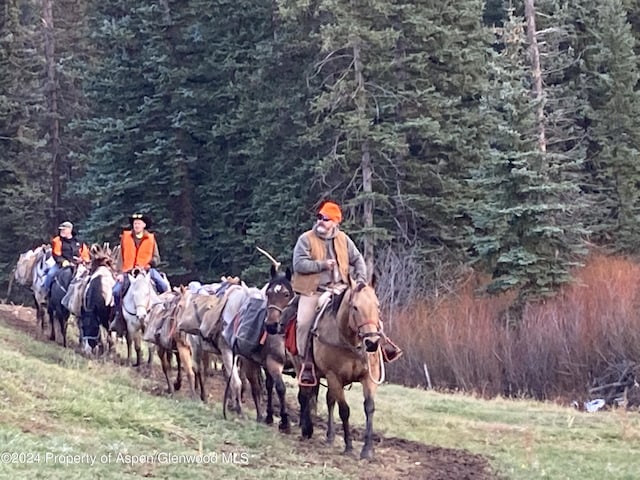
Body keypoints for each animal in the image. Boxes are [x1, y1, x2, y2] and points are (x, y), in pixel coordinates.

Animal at [296, 280, 382, 460]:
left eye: (377, 306)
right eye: (355, 307)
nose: (372, 342)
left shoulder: (369, 377)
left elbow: (369, 407)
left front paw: (368, 449)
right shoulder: (334, 376)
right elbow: (344, 410)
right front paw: (348, 445)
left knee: (328, 400)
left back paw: (330, 435)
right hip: (302, 367)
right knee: (305, 396)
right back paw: (307, 429)